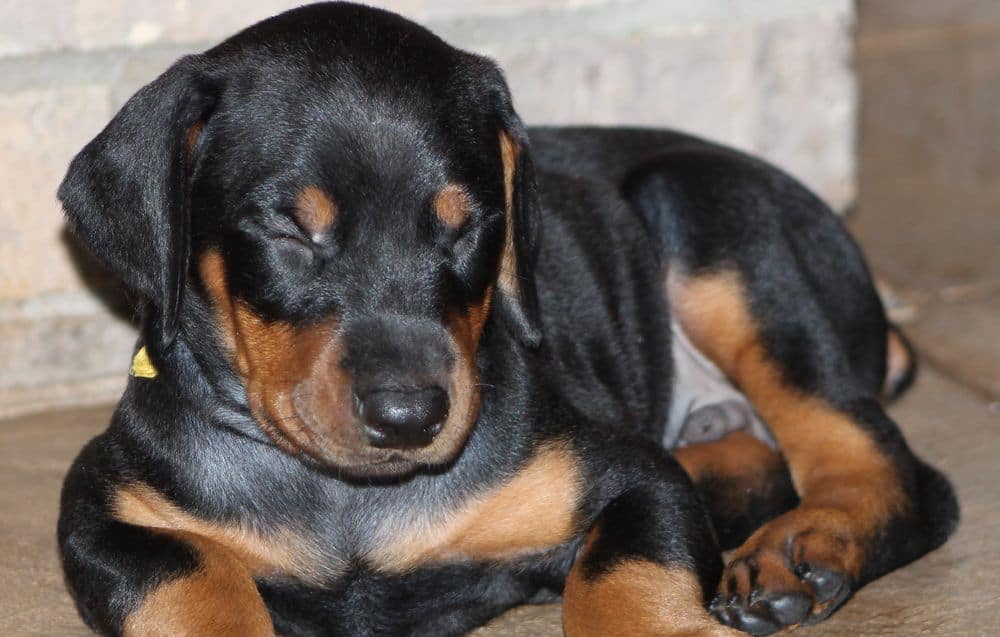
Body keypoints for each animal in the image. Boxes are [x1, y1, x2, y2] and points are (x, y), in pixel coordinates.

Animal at [56, 2, 960, 632]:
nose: (411, 416)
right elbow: (193, 580)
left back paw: (793, 551)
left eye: (468, 227)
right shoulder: (108, 514)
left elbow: (622, 575)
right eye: (288, 229)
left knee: (898, 472)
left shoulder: (631, 478)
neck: (345, 499)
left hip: (710, 213)